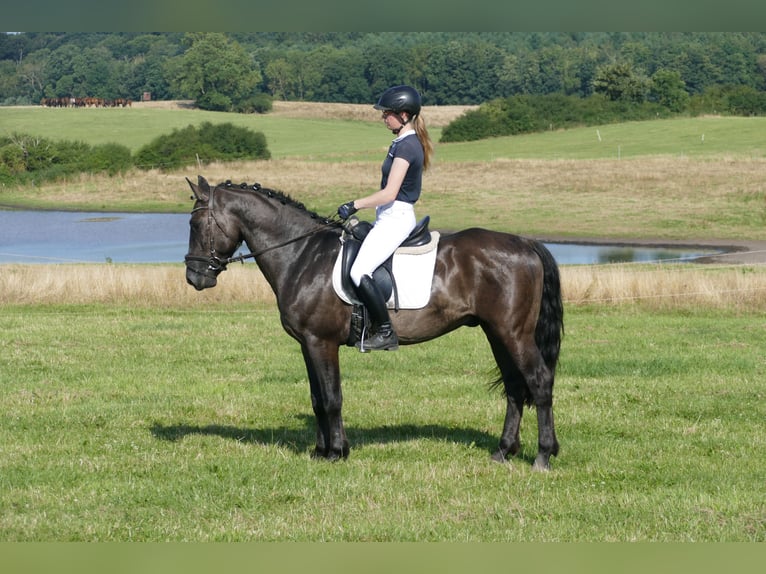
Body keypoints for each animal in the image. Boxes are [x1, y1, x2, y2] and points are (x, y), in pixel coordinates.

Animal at [184, 176, 564, 470]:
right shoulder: (307, 344)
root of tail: (525, 243)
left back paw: (543, 456)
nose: (195, 277)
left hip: (513, 333)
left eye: (196, 225)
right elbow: (316, 397)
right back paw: (503, 451)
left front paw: (337, 453)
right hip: (495, 333)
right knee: (515, 388)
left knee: (539, 382)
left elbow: (331, 397)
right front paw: (321, 451)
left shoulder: (321, 342)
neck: (303, 254)